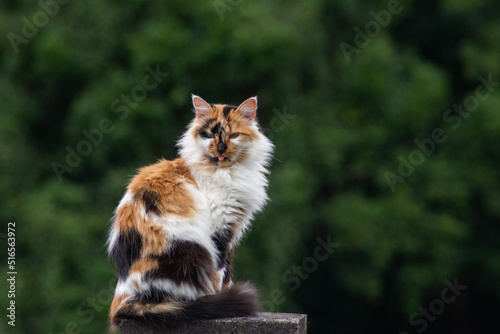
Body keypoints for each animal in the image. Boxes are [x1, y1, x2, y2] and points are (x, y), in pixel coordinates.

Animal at [106, 95, 276, 330]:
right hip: (187, 250)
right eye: (209, 135)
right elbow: (220, 270)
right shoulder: (220, 228)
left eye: (233, 135)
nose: (220, 148)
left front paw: (225, 292)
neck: (227, 173)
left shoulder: (233, 229)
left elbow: (228, 270)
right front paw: (219, 296)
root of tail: (124, 299)